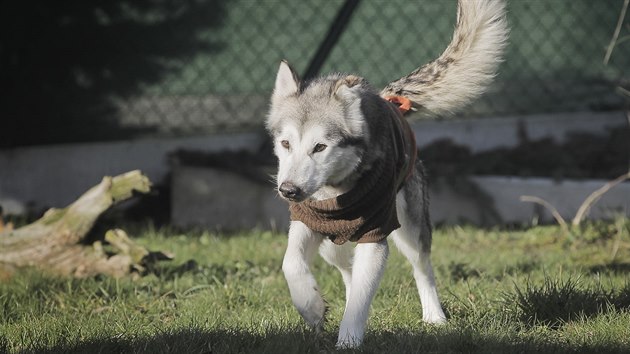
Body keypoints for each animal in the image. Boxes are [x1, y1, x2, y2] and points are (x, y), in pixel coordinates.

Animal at [266, 0, 508, 348]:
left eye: (320, 147)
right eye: (285, 144)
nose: (288, 191)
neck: (335, 192)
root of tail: (388, 98)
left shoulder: (376, 237)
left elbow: (361, 300)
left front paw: (348, 342)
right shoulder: (305, 221)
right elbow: (291, 263)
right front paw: (311, 307)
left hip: (410, 228)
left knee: (422, 267)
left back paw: (434, 316)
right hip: (331, 246)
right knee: (347, 269)